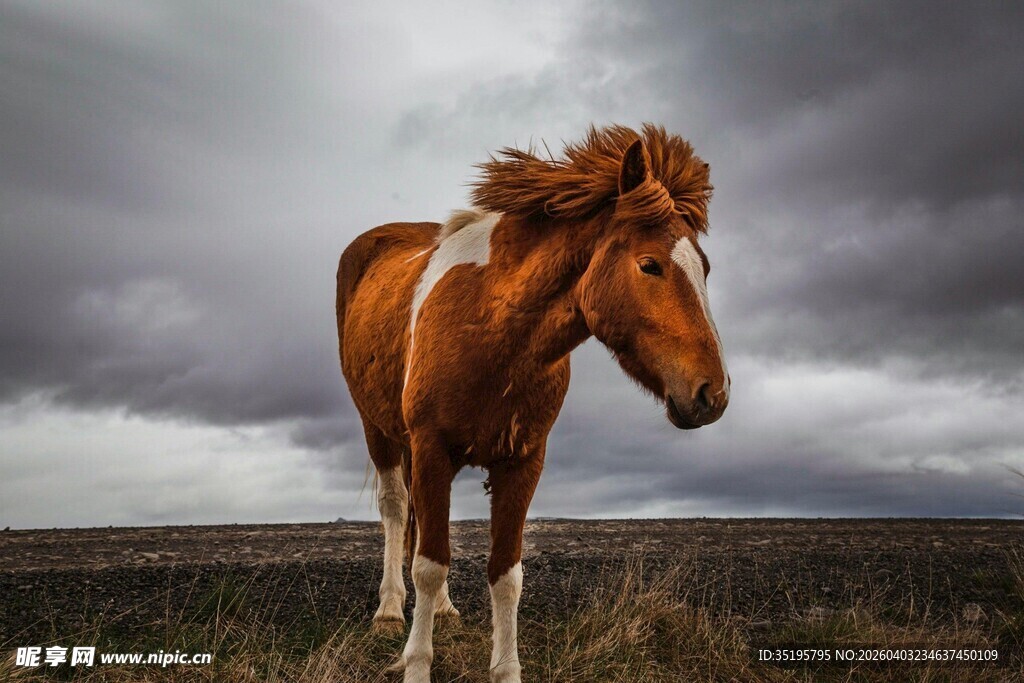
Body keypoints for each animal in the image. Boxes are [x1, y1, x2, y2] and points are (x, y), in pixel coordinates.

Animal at [335, 123, 729, 683]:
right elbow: (429, 564)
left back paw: (443, 610)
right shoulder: (431, 447)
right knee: (395, 510)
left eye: (706, 268)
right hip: (380, 430)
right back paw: (390, 610)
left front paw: (504, 667)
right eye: (649, 265)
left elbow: (505, 574)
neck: (492, 326)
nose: (712, 393)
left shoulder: (523, 460)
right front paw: (416, 663)